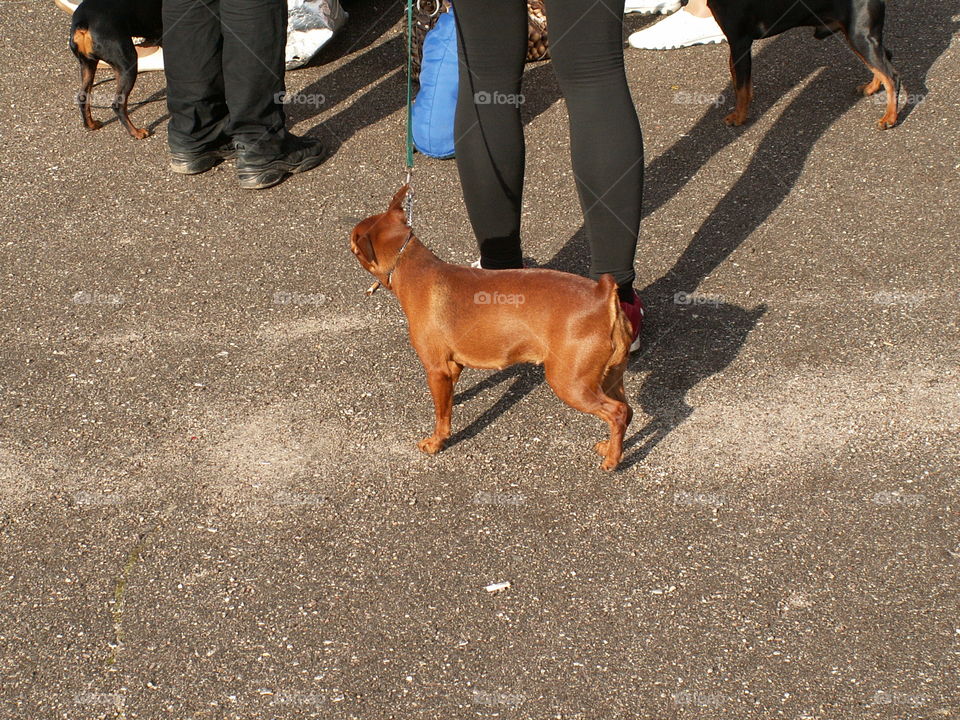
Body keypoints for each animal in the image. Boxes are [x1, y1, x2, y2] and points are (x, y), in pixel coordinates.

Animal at [69, 0, 161, 138]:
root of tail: (84, 22)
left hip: (88, 64)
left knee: (82, 97)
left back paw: (91, 125)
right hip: (128, 63)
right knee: (118, 104)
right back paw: (136, 132)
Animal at [348, 186, 632, 470]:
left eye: (352, 244)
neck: (411, 265)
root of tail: (602, 295)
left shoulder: (437, 368)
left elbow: (442, 418)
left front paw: (436, 442)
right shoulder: (452, 366)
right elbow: (446, 403)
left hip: (570, 382)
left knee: (616, 412)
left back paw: (612, 460)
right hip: (609, 376)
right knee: (626, 410)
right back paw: (610, 447)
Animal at [708, 0, 904, 129]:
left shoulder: (739, 41)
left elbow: (740, 87)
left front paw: (739, 117)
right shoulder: (736, 46)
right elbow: (738, 80)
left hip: (859, 36)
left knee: (892, 76)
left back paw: (889, 118)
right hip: (857, 36)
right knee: (886, 59)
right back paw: (871, 88)